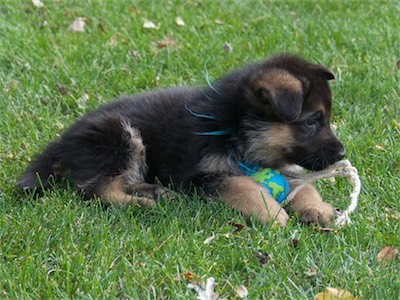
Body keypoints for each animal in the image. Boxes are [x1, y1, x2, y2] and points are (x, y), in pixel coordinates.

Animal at [18, 55, 344, 226]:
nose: (342, 154)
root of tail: (62, 143)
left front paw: (318, 208)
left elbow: (302, 185)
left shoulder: (283, 165)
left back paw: (155, 192)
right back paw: (141, 204)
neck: (232, 127)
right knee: (96, 190)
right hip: (120, 136)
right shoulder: (198, 176)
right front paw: (269, 211)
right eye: (312, 121)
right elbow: (242, 184)